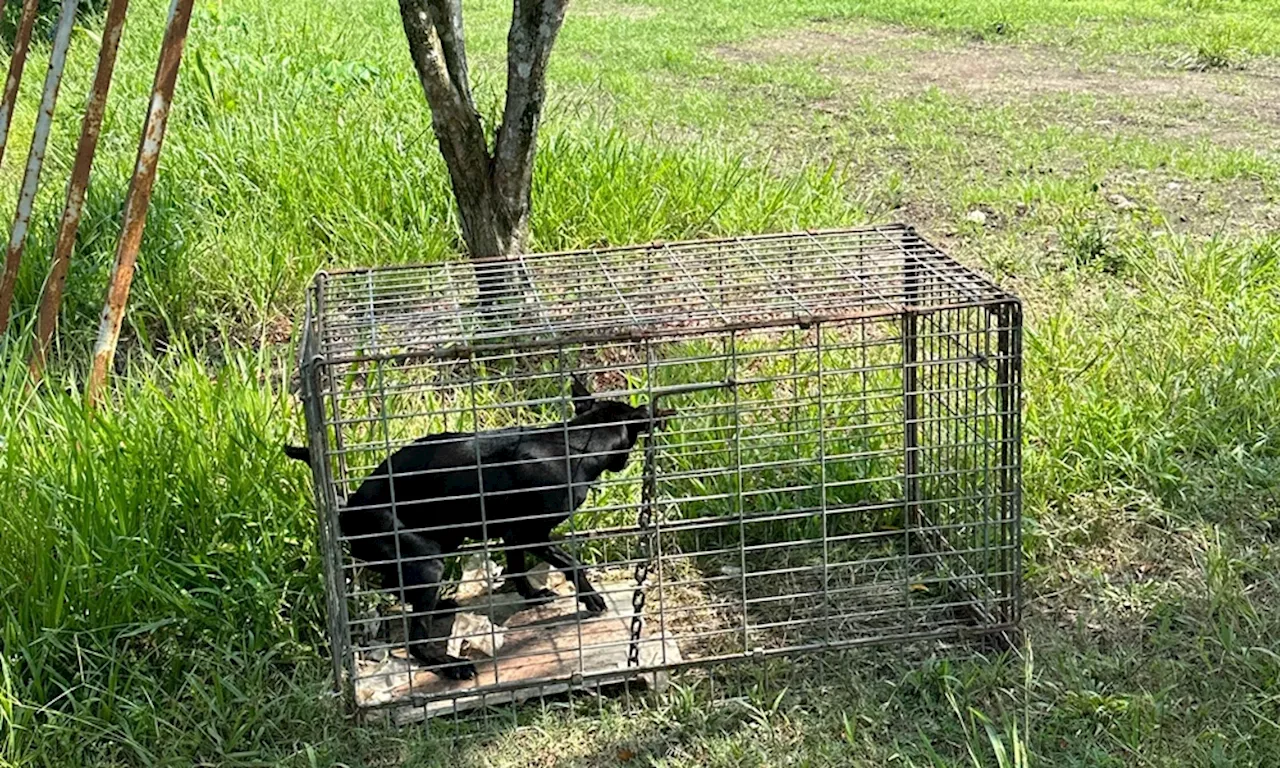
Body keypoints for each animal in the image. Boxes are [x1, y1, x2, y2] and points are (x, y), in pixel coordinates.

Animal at [286, 373, 670, 680]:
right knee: (416, 639)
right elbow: (569, 562)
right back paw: (450, 666)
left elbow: (516, 568)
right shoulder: (530, 533)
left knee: (397, 588)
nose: (625, 464)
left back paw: (441, 606)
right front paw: (591, 598)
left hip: (440, 542)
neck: (574, 443)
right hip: (427, 560)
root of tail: (347, 508)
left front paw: (531, 595)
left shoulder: (512, 535)